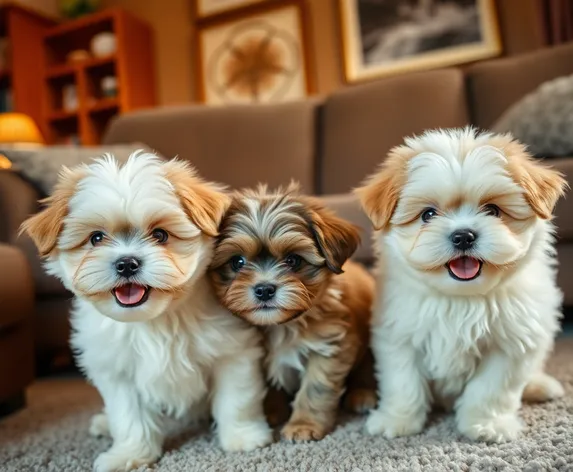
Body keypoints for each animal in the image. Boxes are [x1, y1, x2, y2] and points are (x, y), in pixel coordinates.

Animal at [21, 153, 272, 470]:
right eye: (96, 238)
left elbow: (236, 399)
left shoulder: (232, 351)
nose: (126, 263)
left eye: (160, 235)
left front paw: (242, 437)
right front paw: (130, 454)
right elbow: (129, 416)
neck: (155, 319)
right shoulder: (118, 371)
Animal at [209, 184, 376, 442]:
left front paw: (302, 425)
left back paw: (363, 394)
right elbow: (270, 387)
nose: (264, 289)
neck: (282, 325)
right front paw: (272, 411)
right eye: (237, 262)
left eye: (293, 260)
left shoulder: (330, 346)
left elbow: (315, 390)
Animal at [356, 128, 564, 442]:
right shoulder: (399, 335)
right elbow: (403, 381)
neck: (461, 298)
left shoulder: (511, 344)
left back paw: (540, 385)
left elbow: (491, 389)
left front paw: (486, 424)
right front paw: (398, 420)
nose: (463, 235)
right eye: (428, 214)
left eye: (493, 210)